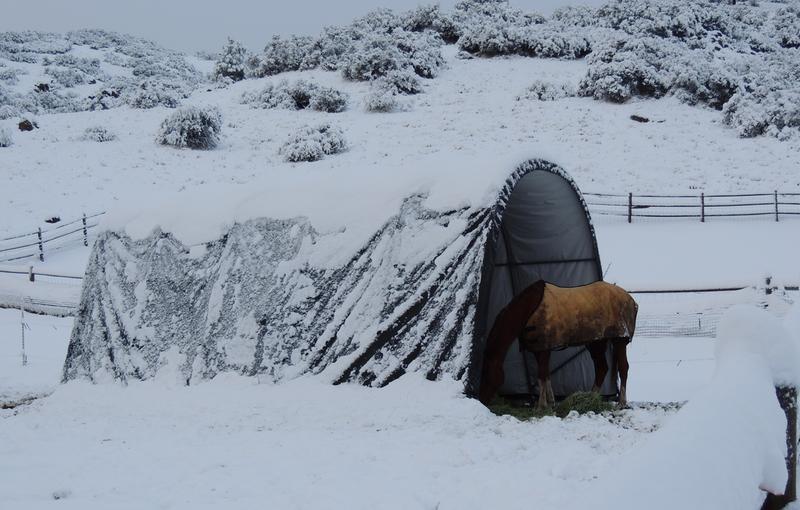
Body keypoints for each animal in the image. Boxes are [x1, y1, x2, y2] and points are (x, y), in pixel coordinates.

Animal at [478, 278, 640, 410]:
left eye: (486, 373)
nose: (482, 401)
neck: (531, 307)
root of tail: (631, 300)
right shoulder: (539, 348)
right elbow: (545, 374)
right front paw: (550, 402)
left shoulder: (544, 348)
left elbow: (541, 375)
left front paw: (541, 405)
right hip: (596, 342)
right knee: (602, 368)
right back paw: (590, 398)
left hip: (619, 340)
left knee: (623, 368)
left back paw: (621, 403)